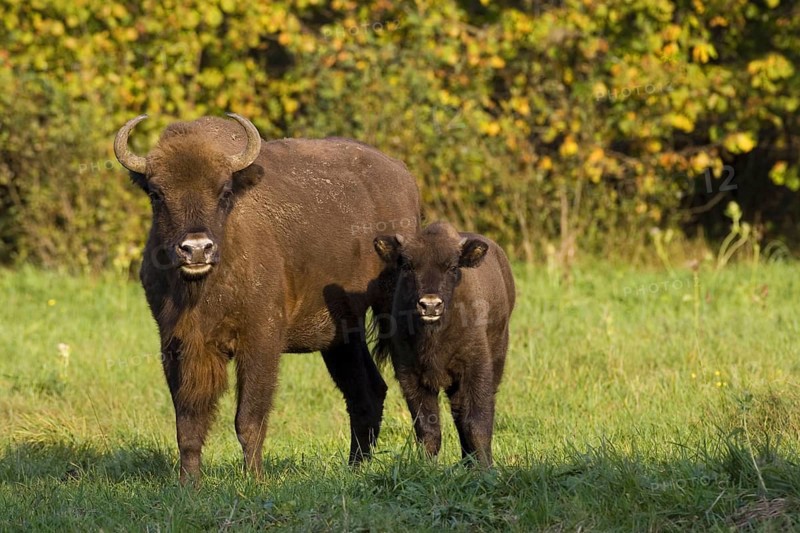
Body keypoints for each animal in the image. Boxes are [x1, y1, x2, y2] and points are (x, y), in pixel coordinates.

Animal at [113, 113, 420, 483]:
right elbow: (188, 423)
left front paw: (254, 480)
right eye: (157, 194)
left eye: (224, 191)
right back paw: (354, 468)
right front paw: (189, 484)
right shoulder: (178, 344)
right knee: (366, 392)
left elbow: (249, 419)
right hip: (343, 335)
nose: (197, 249)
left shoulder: (260, 341)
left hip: (395, 313)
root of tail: (403, 176)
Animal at [372, 221, 515, 466]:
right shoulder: (410, 376)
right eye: (408, 266)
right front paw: (427, 468)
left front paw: (486, 468)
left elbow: (477, 423)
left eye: (452, 267)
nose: (430, 305)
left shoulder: (476, 368)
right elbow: (428, 430)